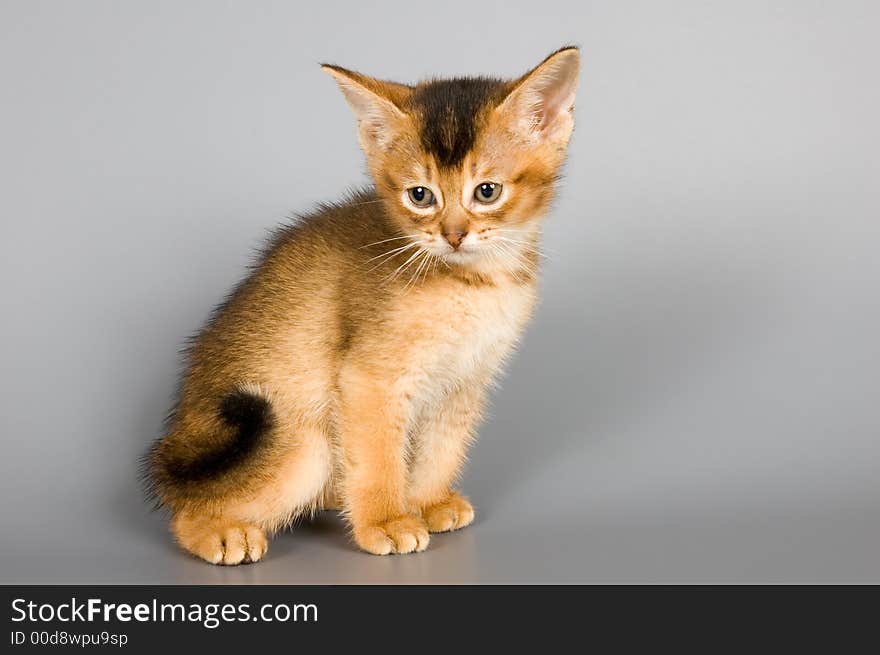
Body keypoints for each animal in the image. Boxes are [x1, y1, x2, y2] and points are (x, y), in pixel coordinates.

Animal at [147, 46, 580, 560]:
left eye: (487, 191)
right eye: (420, 196)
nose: (453, 235)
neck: (471, 281)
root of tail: (179, 437)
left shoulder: (464, 381)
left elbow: (442, 447)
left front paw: (427, 502)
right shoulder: (369, 379)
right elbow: (378, 456)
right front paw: (387, 521)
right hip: (299, 442)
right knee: (184, 508)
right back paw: (220, 532)